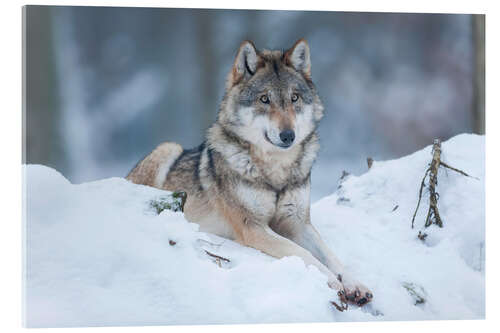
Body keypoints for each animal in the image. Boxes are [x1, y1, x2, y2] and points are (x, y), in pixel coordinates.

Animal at [127, 39, 374, 306]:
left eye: (294, 98)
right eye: (264, 99)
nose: (288, 135)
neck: (276, 172)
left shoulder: (298, 223)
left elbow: (331, 256)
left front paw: (355, 284)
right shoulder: (252, 227)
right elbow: (302, 253)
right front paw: (330, 281)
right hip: (168, 147)